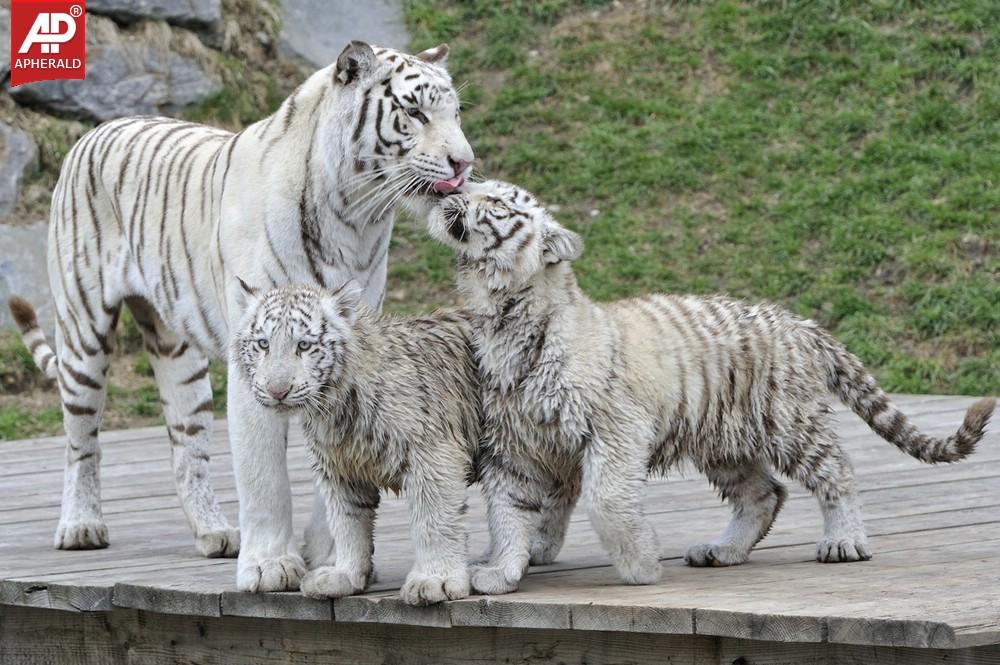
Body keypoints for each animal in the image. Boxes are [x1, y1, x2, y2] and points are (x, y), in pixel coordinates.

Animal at [230, 279, 479, 605]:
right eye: (263, 344)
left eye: (304, 345)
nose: (277, 391)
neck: (334, 407)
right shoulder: (340, 467)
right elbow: (347, 524)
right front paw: (344, 576)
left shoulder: (433, 455)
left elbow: (434, 521)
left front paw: (436, 579)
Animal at [424, 179, 996, 594]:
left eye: (495, 201)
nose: (451, 191)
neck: (502, 318)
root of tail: (800, 323)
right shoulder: (515, 448)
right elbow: (508, 516)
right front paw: (500, 572)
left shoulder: (615, 430)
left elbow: (605, 501)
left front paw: (641, 566)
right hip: (725, 440)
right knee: (764, 494)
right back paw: (725, 551)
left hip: (788, 422)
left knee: (837, 472)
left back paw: (845, 541)